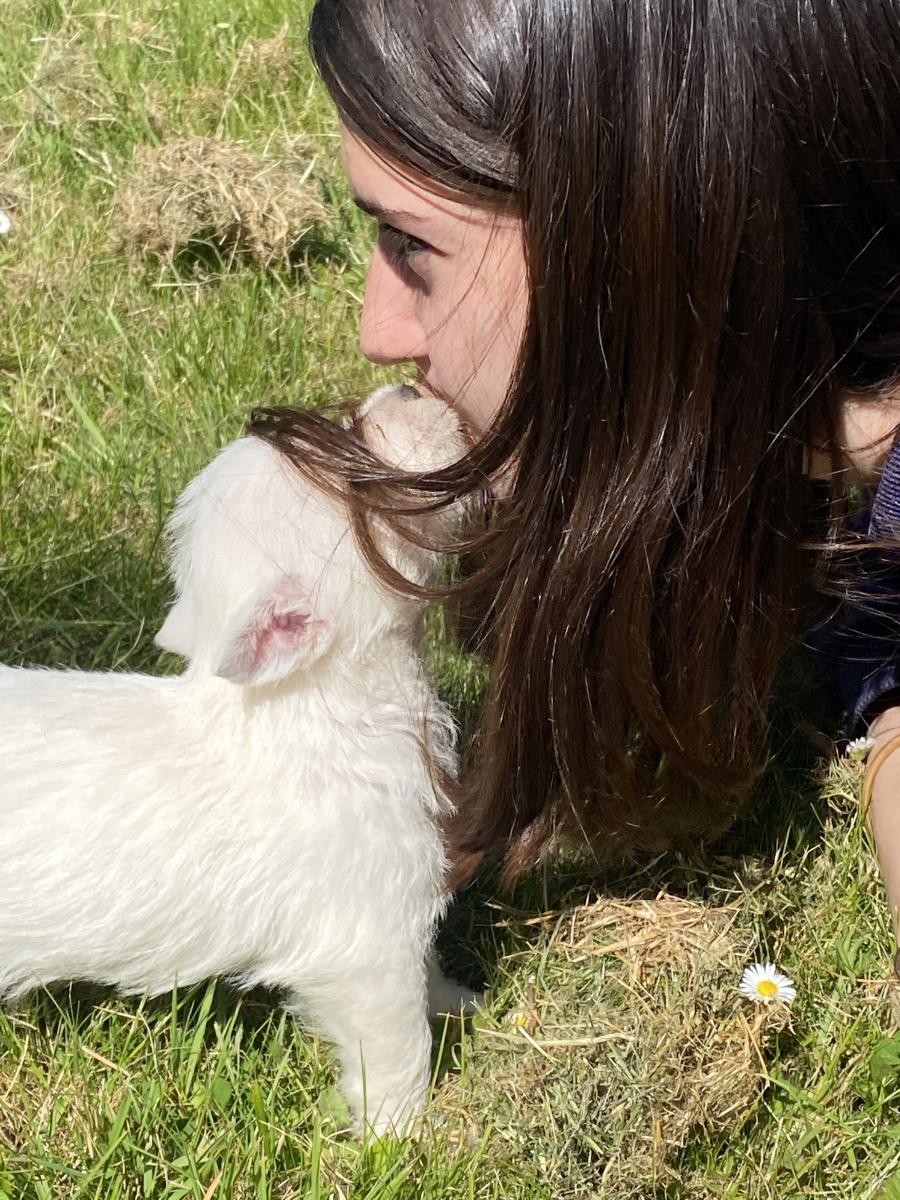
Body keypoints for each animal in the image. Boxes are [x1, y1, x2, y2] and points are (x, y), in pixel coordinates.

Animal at [0, 386, 475, 1132]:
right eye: (354, 437)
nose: (406, 386)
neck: (315, 706)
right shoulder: (366, 944)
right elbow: (399, 1048)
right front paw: (406, 1137)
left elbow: (429, 967)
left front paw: (458, 1000)